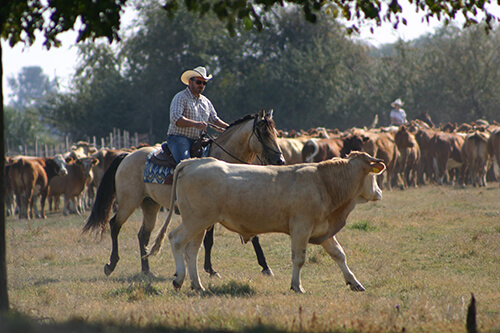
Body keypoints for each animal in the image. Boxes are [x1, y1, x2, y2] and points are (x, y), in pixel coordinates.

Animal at [84, 109, 284, 278]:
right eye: (265, 133)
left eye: (276, 133)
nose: (280, 160)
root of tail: (127, 155)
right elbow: (210, 239)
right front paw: (211, 270)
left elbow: (248, 236)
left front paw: (265, 266)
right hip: (129, 202)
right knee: (114, 225)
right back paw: (111, 265)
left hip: (150, 205)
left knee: (143, 235)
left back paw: (146, 270)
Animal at [148, 152, 386, 292]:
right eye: (374, 175)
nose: (380, 193)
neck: (324, 183)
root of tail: (193, 162)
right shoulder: (301, 226)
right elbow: (299, 258)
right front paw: (296, 286)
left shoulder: (322, 228)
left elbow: (339, 254)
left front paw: (354, 282)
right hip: (195, 220)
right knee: (176, 240)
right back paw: (179, 279)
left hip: (200, 224)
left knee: (192, 251)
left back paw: (197, 285)